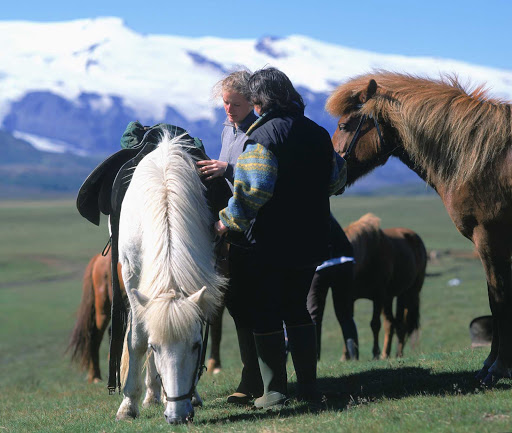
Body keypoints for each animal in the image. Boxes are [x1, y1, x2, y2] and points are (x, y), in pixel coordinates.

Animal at [116, 131, 228, 422]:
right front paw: (128, 406)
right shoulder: (132, 278)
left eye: (196, 346)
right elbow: (137, 340)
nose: (178, 416)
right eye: (155, 347)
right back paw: (152, 396)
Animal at [346, 212, 426, 358]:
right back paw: (387, 353)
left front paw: (375, 353)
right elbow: (348, 324)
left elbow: (375, 324)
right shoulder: (350, 298)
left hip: (409, 294)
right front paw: (346, 356)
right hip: (390, 298)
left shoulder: (378, 297)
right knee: (392, 323)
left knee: (401, 324)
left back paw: (394, 354)